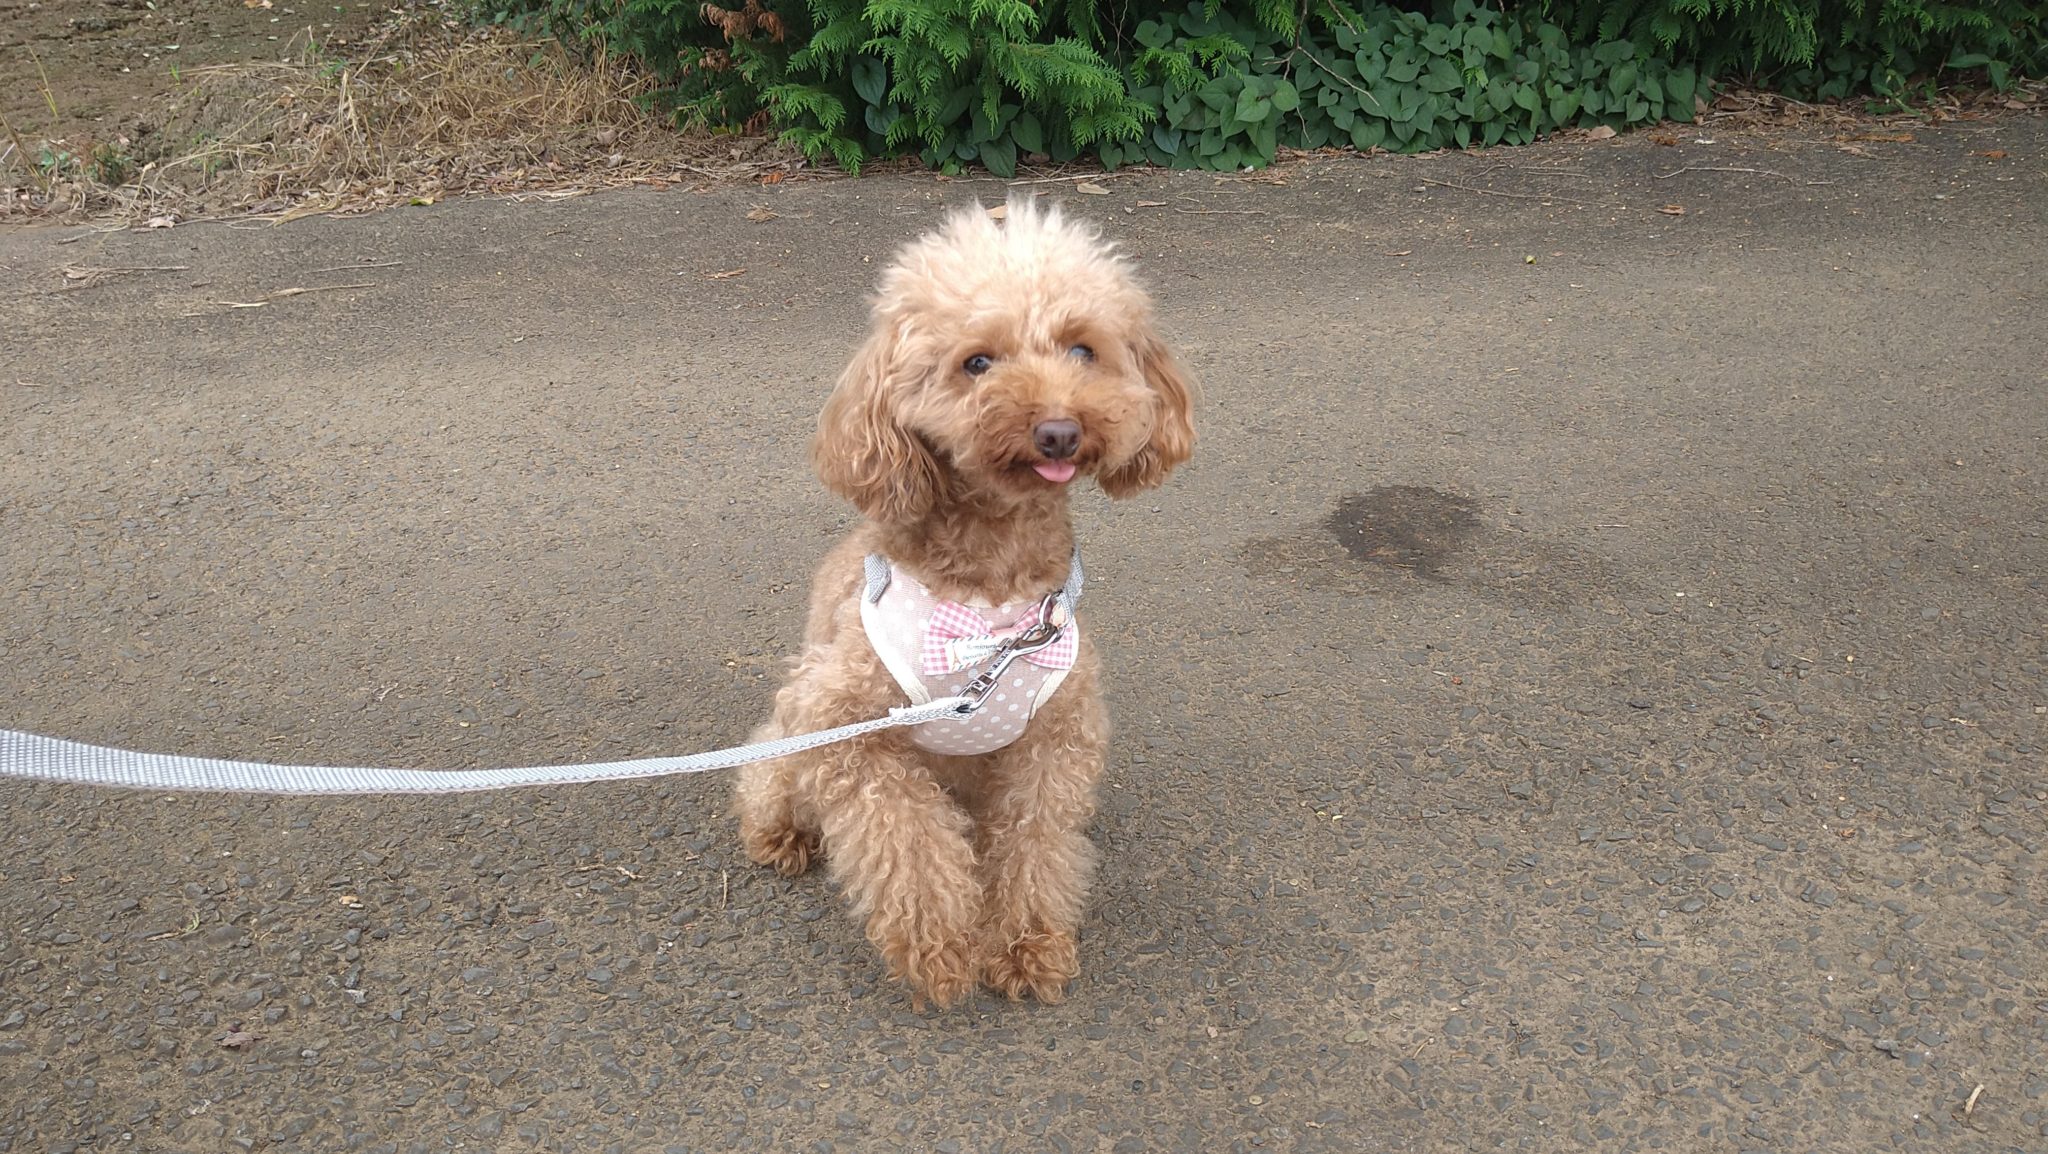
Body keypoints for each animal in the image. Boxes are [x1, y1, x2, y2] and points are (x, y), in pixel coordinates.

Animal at [734, 198, 1194, 1007]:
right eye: (977, 361)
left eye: (1083, 350)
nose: (1059, 429)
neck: (989, 597)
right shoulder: (845, 725)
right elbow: (909, 845)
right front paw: (941, 950)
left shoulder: (1056, 737)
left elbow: (1036, 845)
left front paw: (1024, 945)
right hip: (792, 742)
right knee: (766, 777)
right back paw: (780, 833)